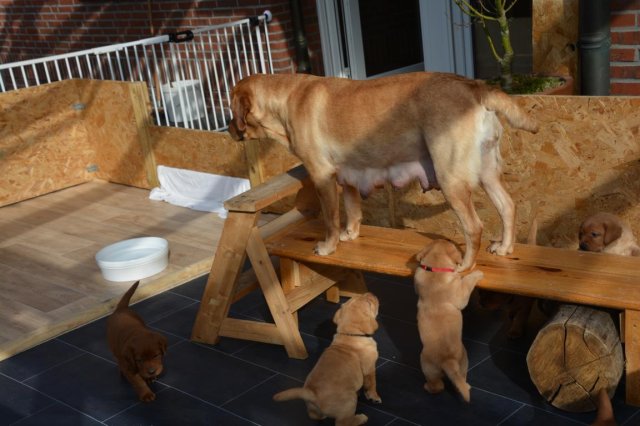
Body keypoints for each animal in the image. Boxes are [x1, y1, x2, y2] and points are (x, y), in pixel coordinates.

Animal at [228, 72, 538, 271]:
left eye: (231, 109)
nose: (230, 129)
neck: (285, 98)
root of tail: (475, 87)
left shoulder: (322, 176)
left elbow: (331, 219)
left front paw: (328, 246)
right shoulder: (348, 176)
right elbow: (352, 210)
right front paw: (350, 235)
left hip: (451, 178)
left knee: (474, 226)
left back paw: (464, 265)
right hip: (487, 173)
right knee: (508, 206)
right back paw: (504, 248)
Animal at [273, 292, 381, 425]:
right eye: (369, 302)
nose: (371, 293)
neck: (350, 335)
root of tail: (313, 395)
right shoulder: (369, 368)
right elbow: (372, 383)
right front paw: (374, 397)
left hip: (315, 409)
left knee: (315, 416)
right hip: (350, 400)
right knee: (342, 422)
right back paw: (361, 418)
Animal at [414, 239, 484, 402]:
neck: (435, 269)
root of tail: (447, 361)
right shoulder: (461, 295)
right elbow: (467, 280)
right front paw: (476, 272)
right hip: (449, 361)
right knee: (441, 385)